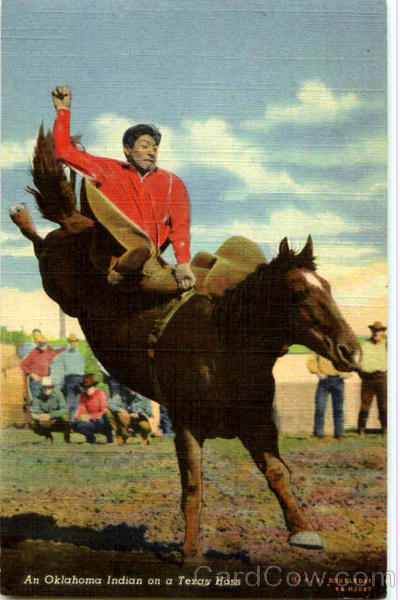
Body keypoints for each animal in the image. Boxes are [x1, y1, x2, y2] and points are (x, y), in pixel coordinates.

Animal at [9, 126, 360, 556]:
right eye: (299, 294)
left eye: (327, 287)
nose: (351, 349)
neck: (225, 345)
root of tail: (81, 221)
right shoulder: (188, 424)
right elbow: (193, 489)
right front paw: (190, 553)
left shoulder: (256, 422)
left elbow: (277, 471)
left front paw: (303, 531)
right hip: (57, 277)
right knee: (42, 241)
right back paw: (24, 216)